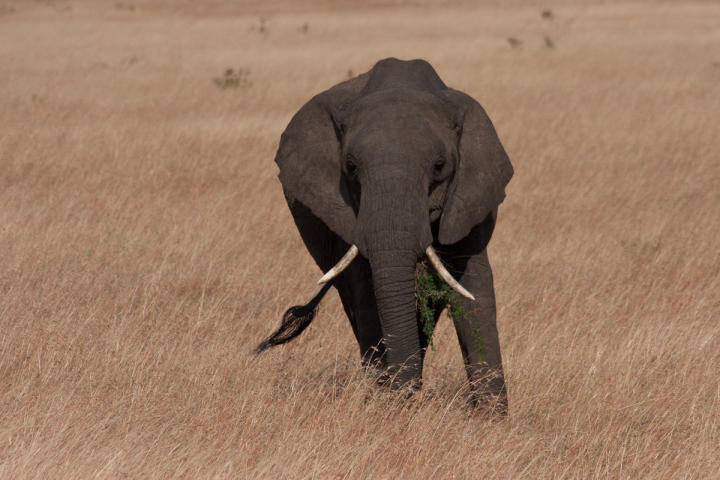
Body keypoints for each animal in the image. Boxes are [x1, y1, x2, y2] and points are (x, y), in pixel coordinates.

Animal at [258, 58, 513, 410]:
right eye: (350, 167)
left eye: (439, 166)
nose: (399, 399)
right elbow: (368, 292)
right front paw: (388, 407)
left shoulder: (472, 197)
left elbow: (473, 289)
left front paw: (492, 420)